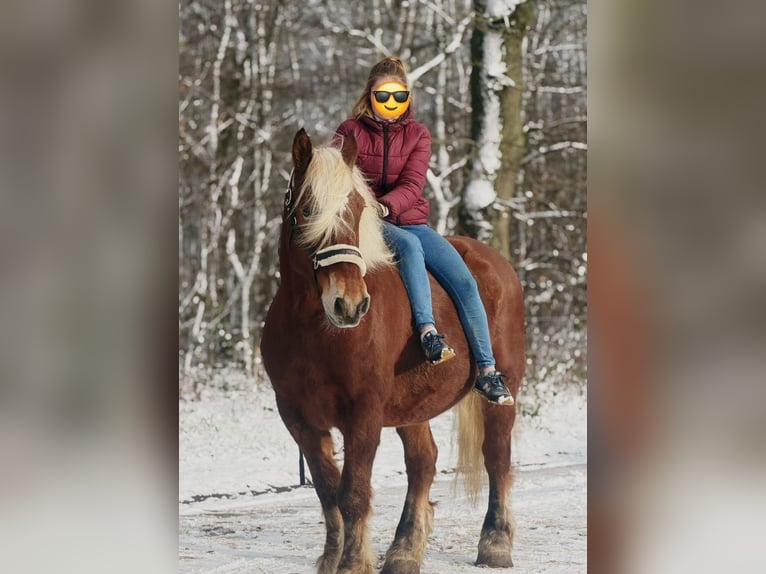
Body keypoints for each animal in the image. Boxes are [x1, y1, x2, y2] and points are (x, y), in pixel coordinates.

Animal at [260, 128, 525, 574]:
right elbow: (328, 491)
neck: (314, 329)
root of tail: (495, 263)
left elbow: (352, 493)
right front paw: (333, 559)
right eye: (308, 209)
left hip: (503, 388)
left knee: (496, 457)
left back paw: (495, 544)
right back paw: (404, 550)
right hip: (411, 406)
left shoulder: (364, 411)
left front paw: (352, 563)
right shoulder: (298, 417)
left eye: (355, 210)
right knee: (423, 463)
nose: (349, 305)